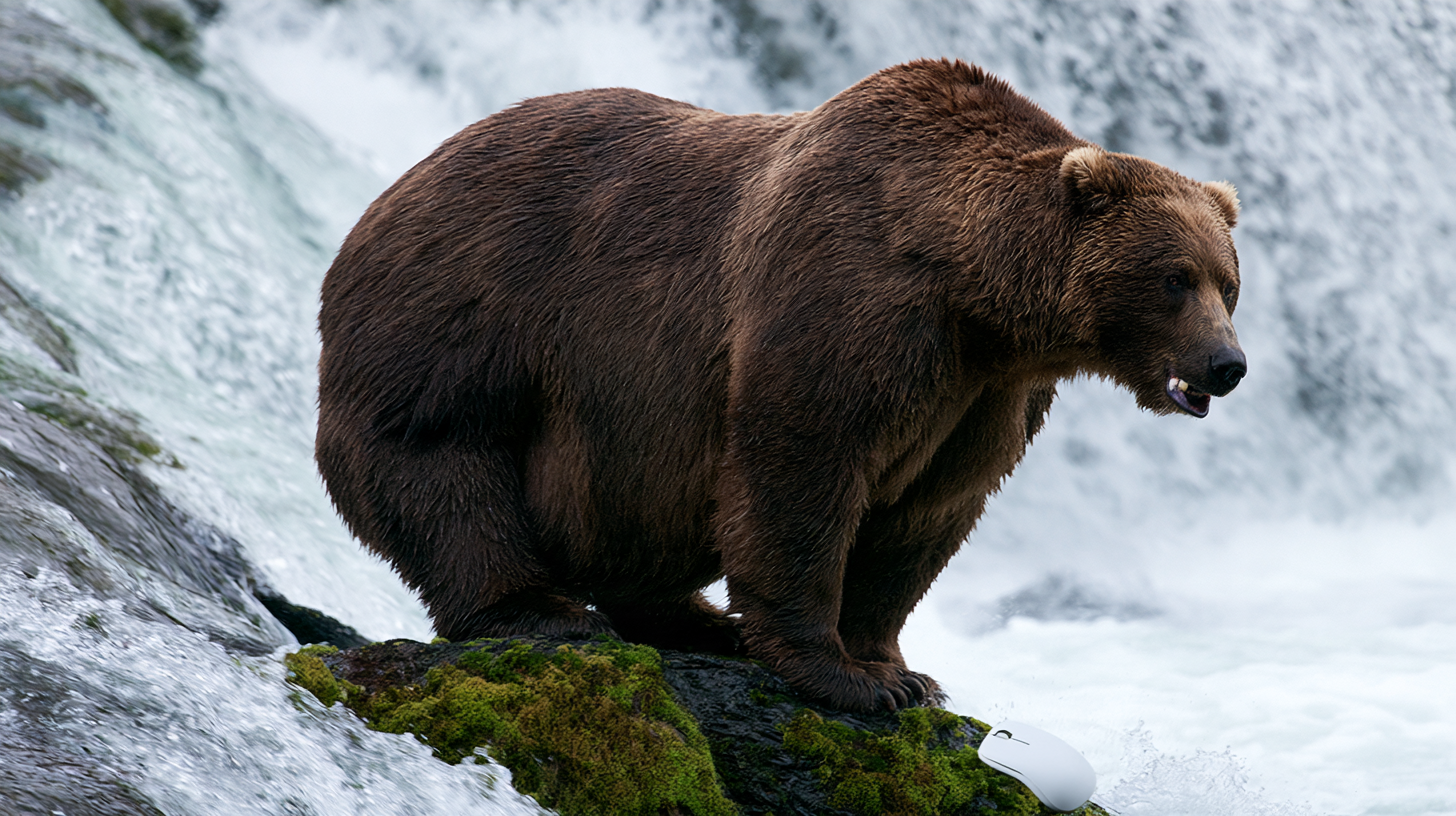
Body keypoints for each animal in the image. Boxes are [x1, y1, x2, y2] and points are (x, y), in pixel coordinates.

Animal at [316, 58, 1245, 713]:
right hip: (464, 315)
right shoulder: (850, 297)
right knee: (445, 465)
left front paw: (900, 668)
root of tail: (386, 194)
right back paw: (541, 609)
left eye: (1228, 283)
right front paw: (846, 676)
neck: (975, 296)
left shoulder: (983, 397)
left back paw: (695, 621)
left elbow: (923, 518)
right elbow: (802, 467)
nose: (1226, 365)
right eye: (1174, 278)